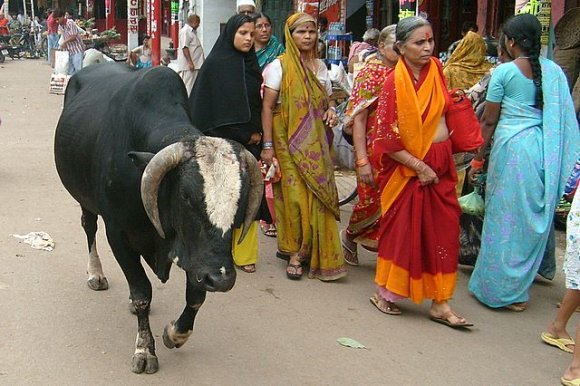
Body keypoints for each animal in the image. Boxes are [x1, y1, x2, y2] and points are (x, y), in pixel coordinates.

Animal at [54, 64, 262, 374]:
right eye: (186, 195)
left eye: (242, 198)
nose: (221, 279)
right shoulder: (118, 235)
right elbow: (143, 292)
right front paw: (144, 350)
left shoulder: (194, 252)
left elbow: (196, 296)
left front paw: (174, 334)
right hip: (85, 199)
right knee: (88, 227)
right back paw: (95, 273)